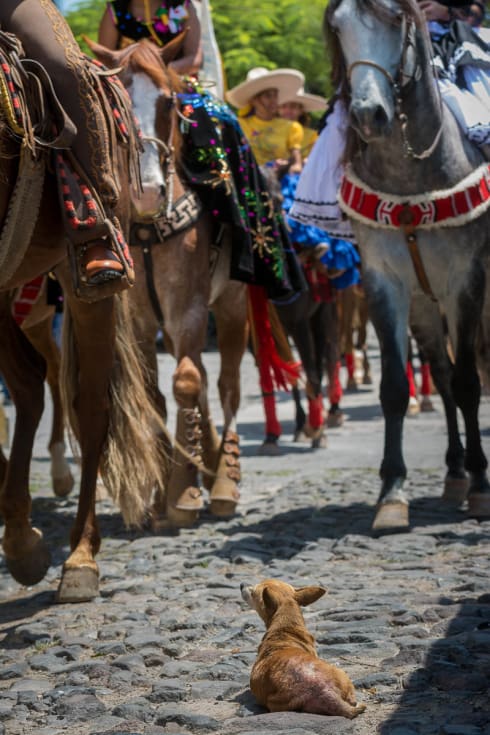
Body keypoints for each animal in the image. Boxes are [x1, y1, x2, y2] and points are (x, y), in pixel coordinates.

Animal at [87, 37, 249, 528]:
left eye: (167, 102)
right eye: (117, 100)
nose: (147, 192)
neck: (148, 232)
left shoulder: (188, 311)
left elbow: (188, 383)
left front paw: (184, 491)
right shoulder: (142, 321)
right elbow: (156, 396)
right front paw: (162, 492)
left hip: (232, 305)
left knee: (227, 383)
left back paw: (224, 479)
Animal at [240, 580, 364, 720]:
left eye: (253, 592)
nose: (241, 584)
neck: (285, 625)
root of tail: (325, 690)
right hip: (342, 674)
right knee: (351, 700)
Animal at [326, 0, 490, 532]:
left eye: (395, 20)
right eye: (338, 28)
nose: (368, 115)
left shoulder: (465, 282)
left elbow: (469, 383)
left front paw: (481, 489)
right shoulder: (387, 285)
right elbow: (399, 388)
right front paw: (392, 494)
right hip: (425, 305)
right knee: (440, 372)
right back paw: (454, 473)